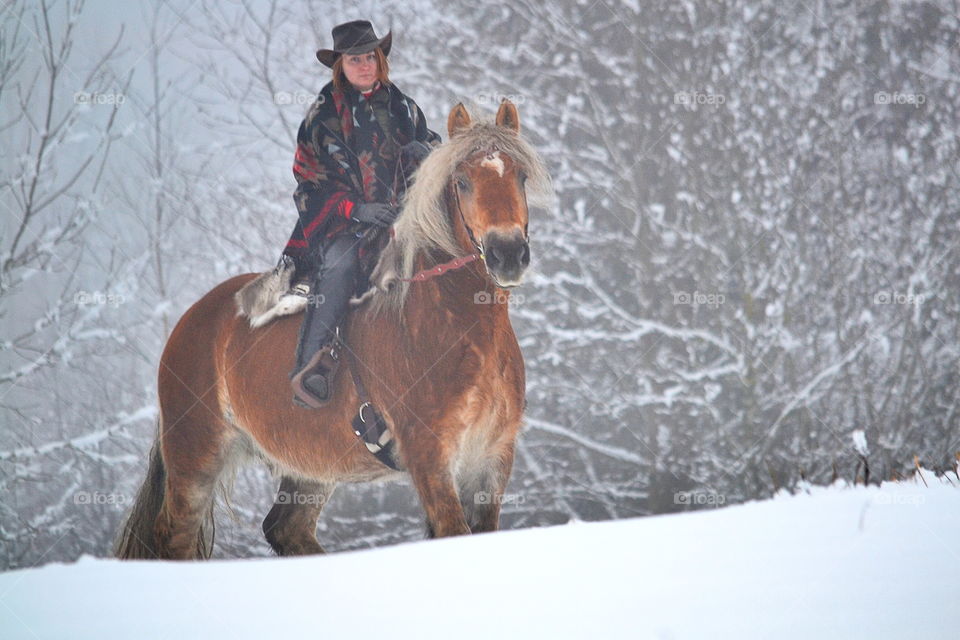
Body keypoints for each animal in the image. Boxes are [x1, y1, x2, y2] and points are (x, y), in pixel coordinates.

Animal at [117, 100, 556, 560]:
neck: (456, 329)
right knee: (175, 536)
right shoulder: (430, 455)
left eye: (521, 177)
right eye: (463, 181)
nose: (507, 253)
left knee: (284, 528)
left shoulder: (491, 459)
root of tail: (192, 318)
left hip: (308, 467)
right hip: (196, 453)